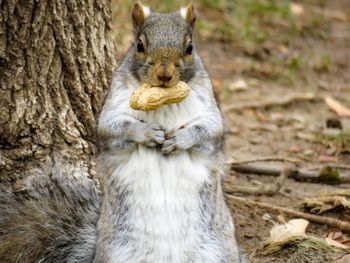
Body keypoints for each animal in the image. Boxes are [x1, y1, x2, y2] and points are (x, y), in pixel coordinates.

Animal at [0, 2, 246, 263]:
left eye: (189, 47)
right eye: (139, 45)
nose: (164, 75)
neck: (163, 101)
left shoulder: (209, 109)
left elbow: (209, 131)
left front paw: (180, 139)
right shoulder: (112, 109)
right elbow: (113, 128)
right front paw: (147, 133)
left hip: (218, 252)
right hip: (117, 252)